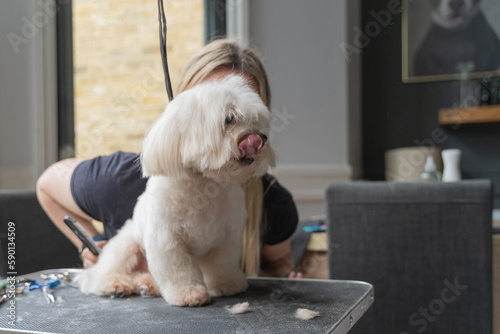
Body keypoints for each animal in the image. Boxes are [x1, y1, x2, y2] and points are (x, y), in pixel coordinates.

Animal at [76, 75, 276, 306]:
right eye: (229, 119)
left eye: (256, 120)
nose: (262, 138)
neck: (205, 185)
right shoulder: (166, 239)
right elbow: (177, 270)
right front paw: (188, 293)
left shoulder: (227, 238)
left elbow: (222, 264)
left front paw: (228, 284)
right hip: (126, 247)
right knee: (100, 275)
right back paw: (115, 285)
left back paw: (147, 285)